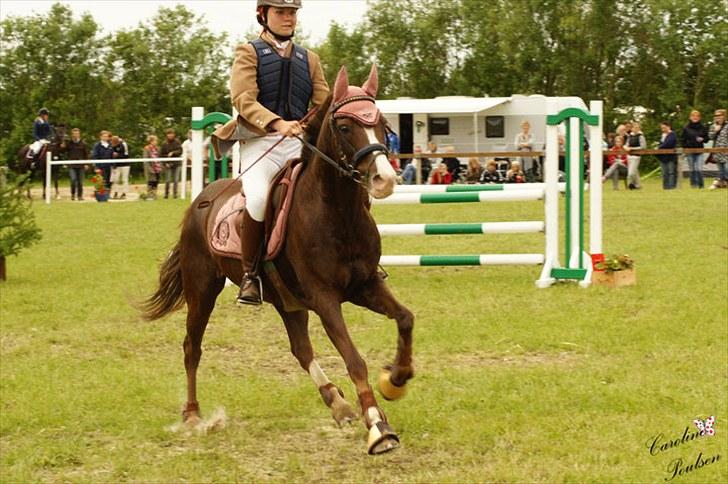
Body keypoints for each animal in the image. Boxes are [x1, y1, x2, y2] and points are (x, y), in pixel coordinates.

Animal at [141, 66, 416, 456]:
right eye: (345, 126)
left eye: (382, 124)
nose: (385, 179)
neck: (337, 212)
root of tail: (201, 200)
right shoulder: (325, 298)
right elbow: (354, 359)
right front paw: (378, 427)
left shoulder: (366, 285)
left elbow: (405, 319)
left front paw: (395, 380)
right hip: (203, 290)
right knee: (191, 347)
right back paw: (193, 416)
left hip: (288, 300)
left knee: (300, 349)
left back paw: (337, 403)